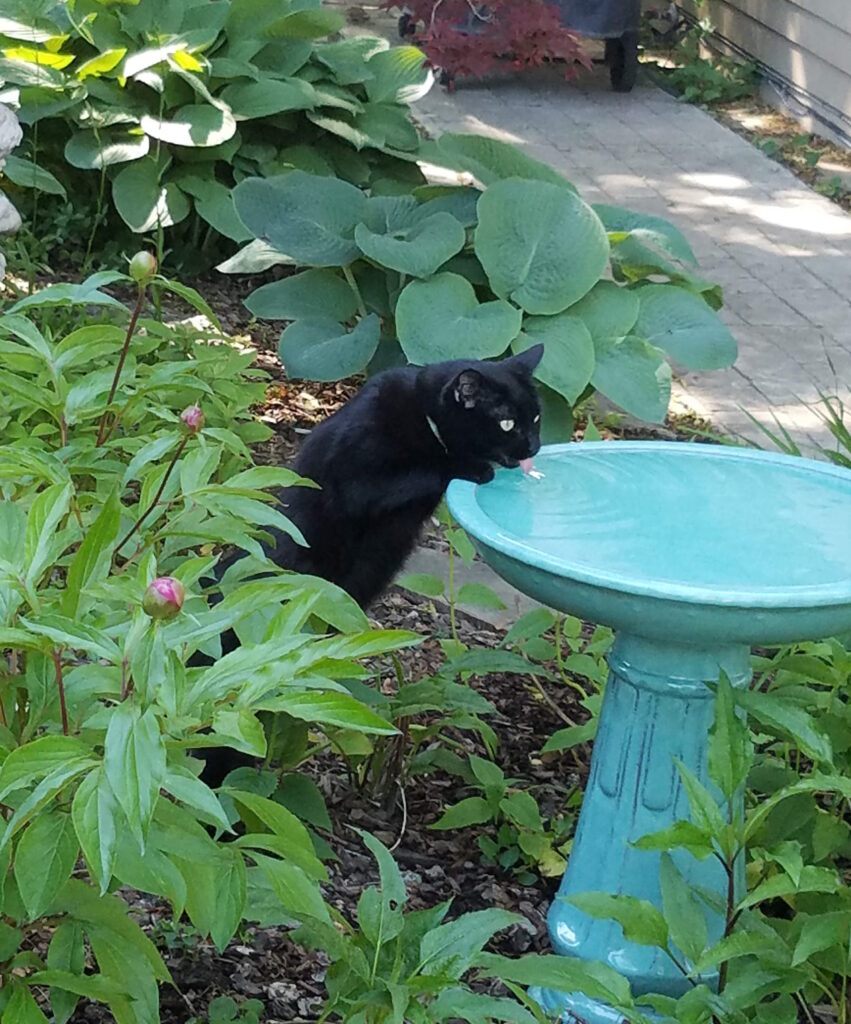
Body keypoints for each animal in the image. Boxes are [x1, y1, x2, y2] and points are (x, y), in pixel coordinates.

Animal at [219, 344, 540, 606]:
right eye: (508, 423)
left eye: (536, 417)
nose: (535, 445)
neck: (424, 416)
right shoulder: (355, 480)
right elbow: (424, 469)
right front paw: (474, 467)